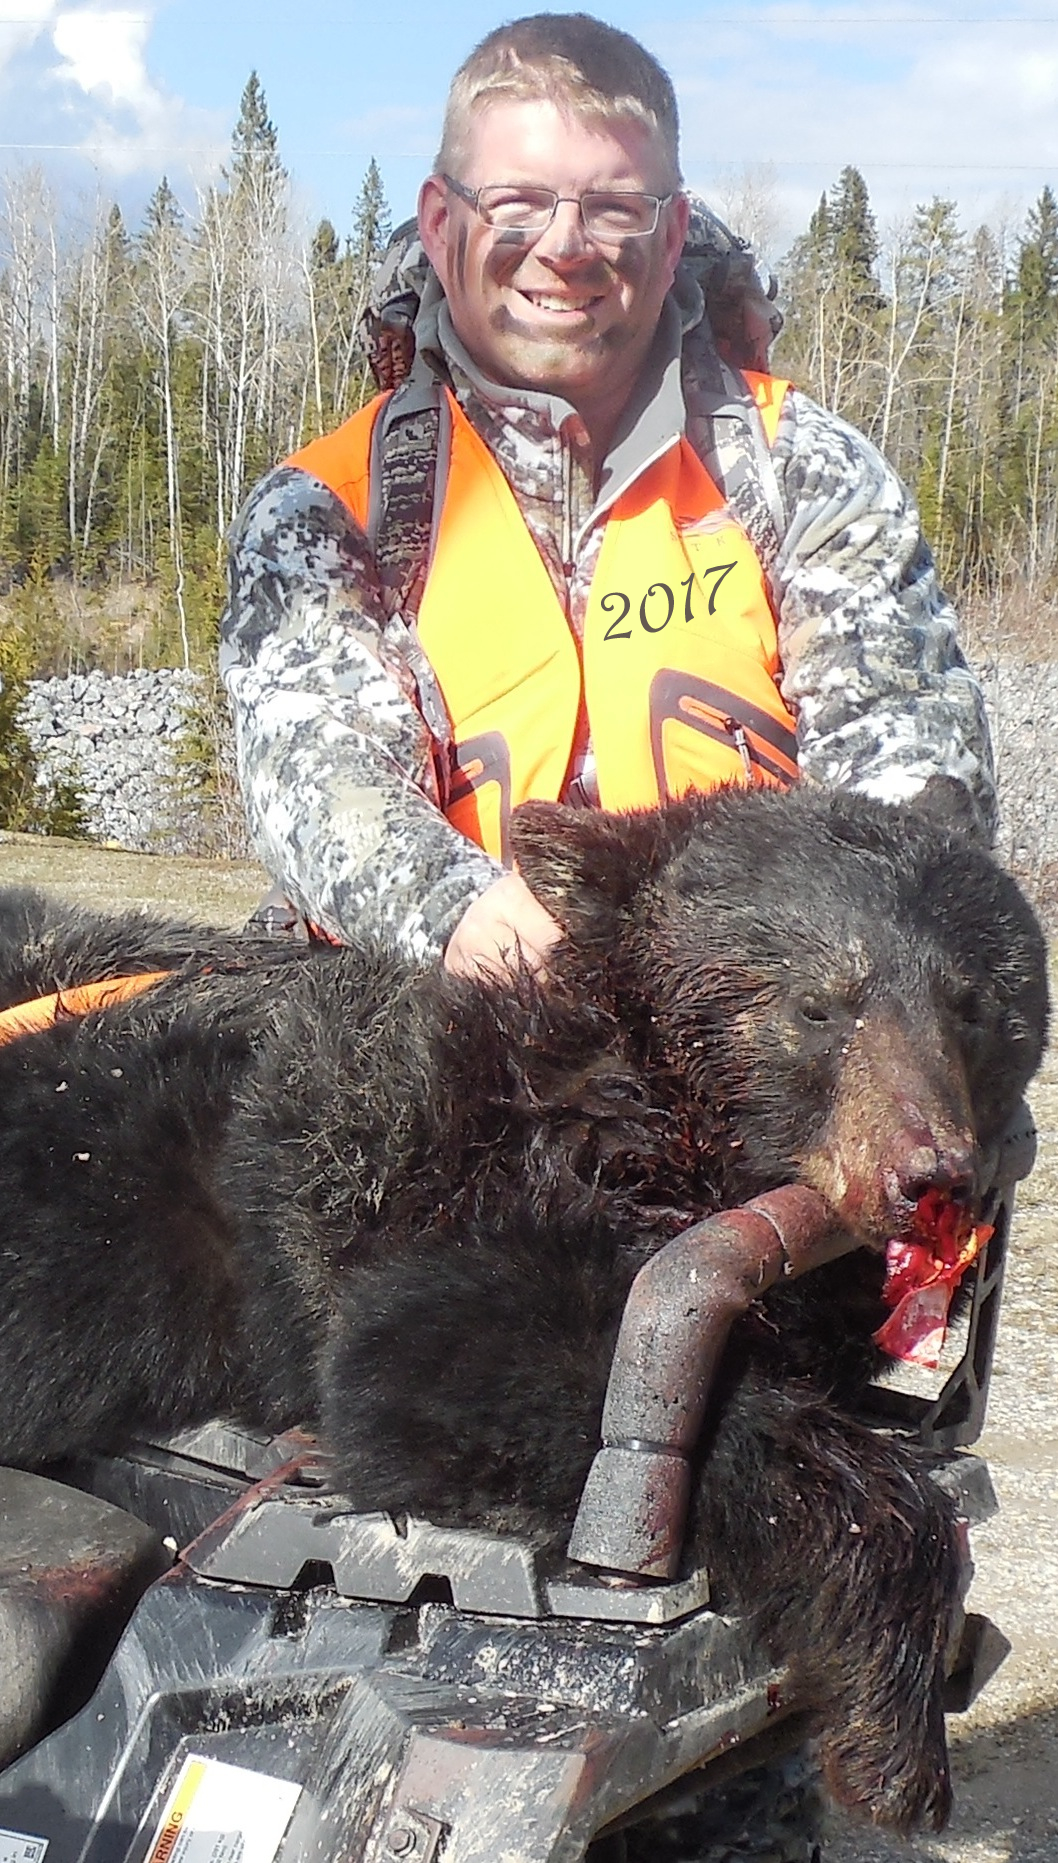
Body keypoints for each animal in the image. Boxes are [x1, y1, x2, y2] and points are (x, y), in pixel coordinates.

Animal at [0, 786, 1050, 1833]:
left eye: (979, 1007)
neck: (645, 1109)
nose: (933, 1176)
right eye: (818, 1005)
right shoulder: (429, 1187)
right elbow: (434, 1359)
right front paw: (891, 1737)